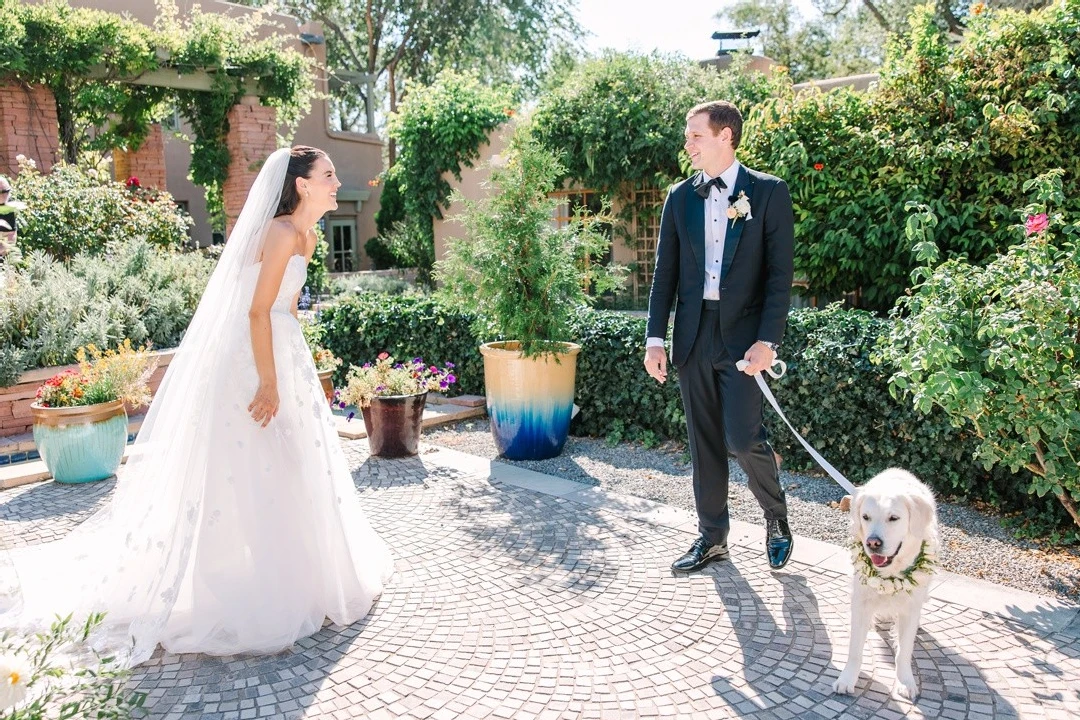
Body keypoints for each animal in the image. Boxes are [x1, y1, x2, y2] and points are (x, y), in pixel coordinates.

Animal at [833, 470, 937, 699]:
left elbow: (904, 651)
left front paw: (905, 681)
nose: (872, 543)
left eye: (893, 518)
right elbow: (855, 650)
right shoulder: (861, 601)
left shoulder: (909, 608)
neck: (890, 573)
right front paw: (847, 679)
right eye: (866, 517)